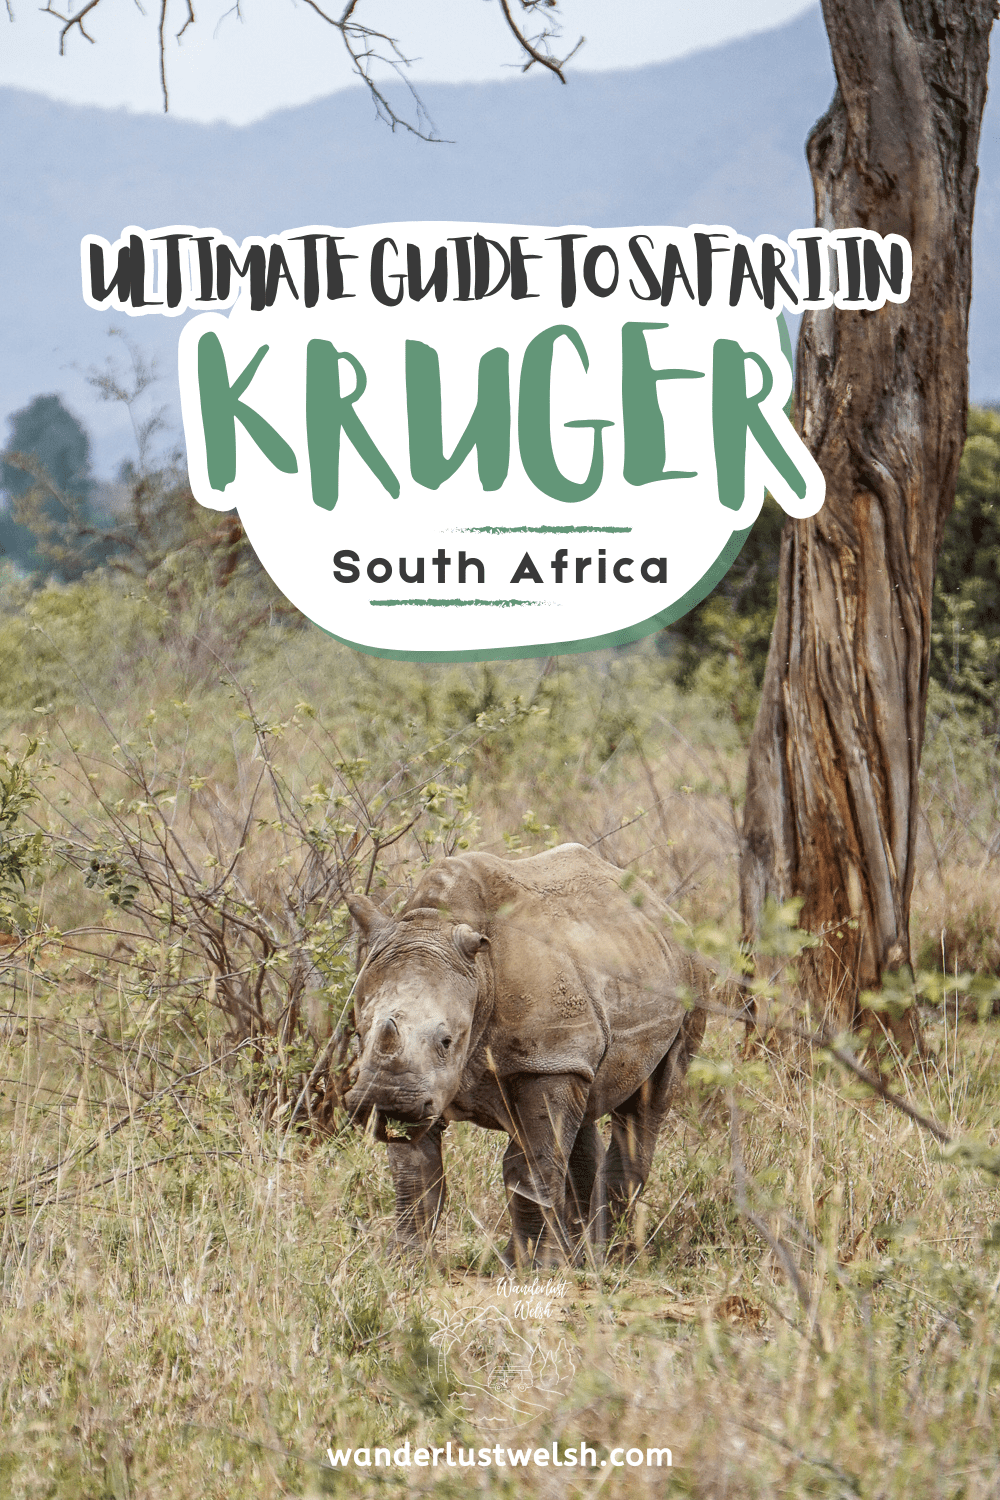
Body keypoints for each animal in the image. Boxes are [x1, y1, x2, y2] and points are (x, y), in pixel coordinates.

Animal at [343, 843, 709, 1265]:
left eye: (447, 1041)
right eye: (358, 1032)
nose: (383, 1097)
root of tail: (663, 909)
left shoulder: (544, 1062)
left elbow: (531, 1163)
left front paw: (532, 1265)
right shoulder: (427, 1084)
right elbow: (415, 1172)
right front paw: (402, 1259)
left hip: (692, 980)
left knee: (646, 1105)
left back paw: (613, 1255)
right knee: (583, 1107)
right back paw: (583, 1253)